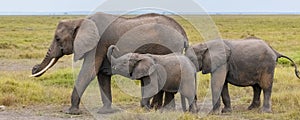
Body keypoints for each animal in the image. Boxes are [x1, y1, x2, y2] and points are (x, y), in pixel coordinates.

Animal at [31, 12, 189, 114]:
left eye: (57, 39)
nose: (34, 68)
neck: (80, 21)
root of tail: (183, 33)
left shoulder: (98, 44)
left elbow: (88, 71)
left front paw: (71, 112)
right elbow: (101, 75)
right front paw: (105, 112)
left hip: (169, 47)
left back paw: (160, 109)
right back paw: (159, 109)